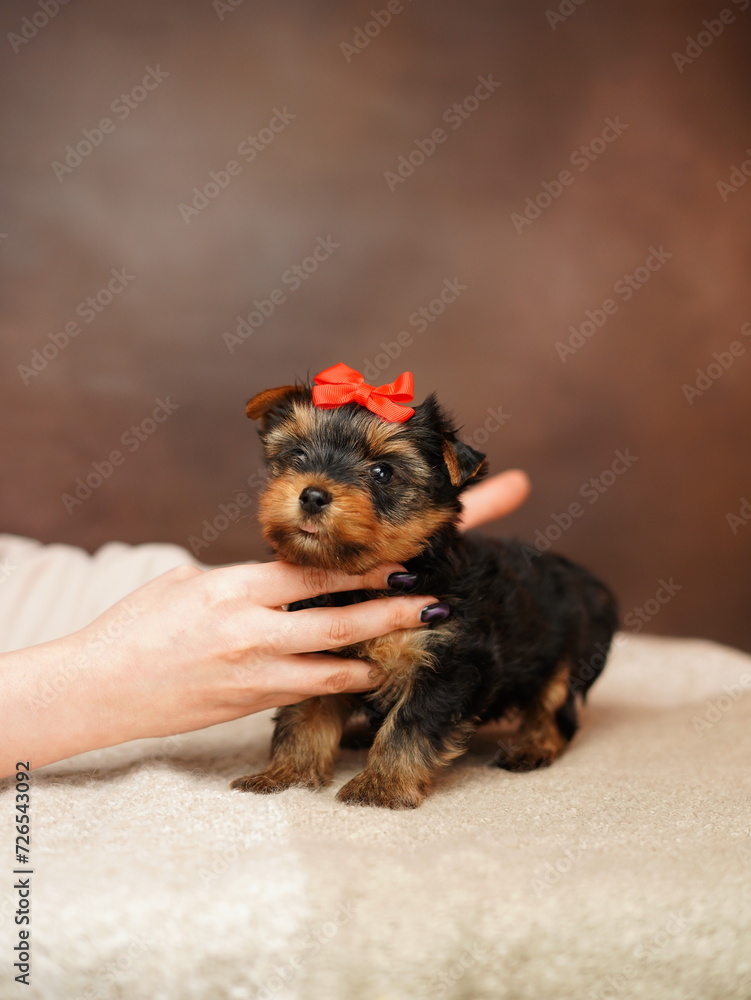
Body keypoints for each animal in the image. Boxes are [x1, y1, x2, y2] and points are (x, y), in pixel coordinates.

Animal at [234, 364, 616, 808]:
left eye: (383, 472)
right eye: (296, 455)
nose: (312, 495)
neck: (359, 583)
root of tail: (582, 580)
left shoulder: (448, 658)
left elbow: (411, 722)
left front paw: (381, 786)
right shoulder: (316, 658)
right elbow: (303, 717)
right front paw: (286, 775)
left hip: (567, 654)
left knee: (555, 704)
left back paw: (533, 746)